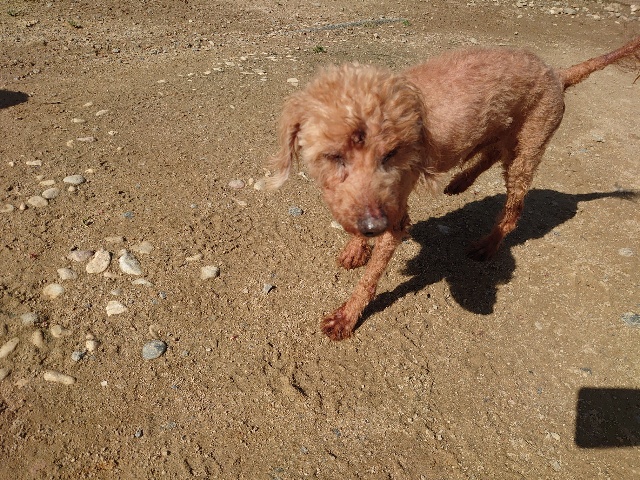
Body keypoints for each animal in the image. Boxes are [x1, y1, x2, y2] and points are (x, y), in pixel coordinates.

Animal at [264, 36, 640, 340]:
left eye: (391, 154)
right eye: (334, 156)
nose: (374, 225)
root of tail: (559, 73)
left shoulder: (396, 217)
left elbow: (369, 280)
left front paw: (346, 317)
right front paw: (357, 248)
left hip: (529, 149)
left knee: (513, 208)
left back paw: (487, 244)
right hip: (503, 130)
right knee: (491, 152)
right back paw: (461, 182)